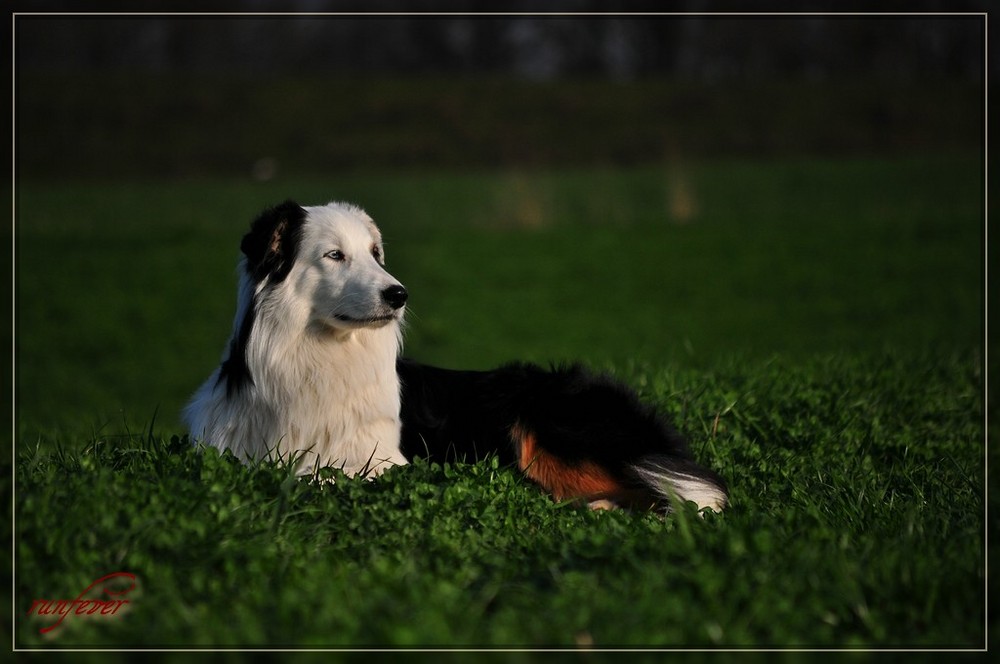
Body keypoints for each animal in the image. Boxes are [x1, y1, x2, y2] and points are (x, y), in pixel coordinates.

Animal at [184, 202, 728, 512]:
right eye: (334, 255)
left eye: (375, 253)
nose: (399, 294)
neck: (321, 358)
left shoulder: (385, 463)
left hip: (539, 422)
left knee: (694, 497)